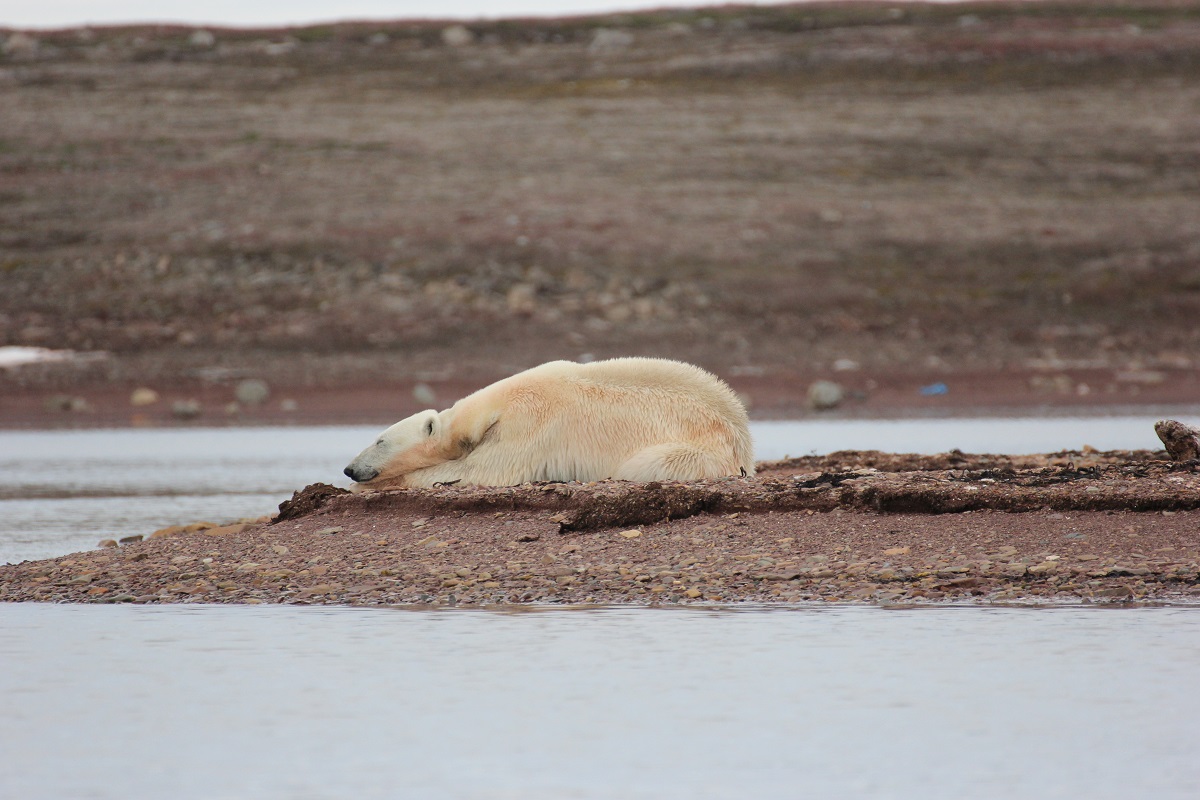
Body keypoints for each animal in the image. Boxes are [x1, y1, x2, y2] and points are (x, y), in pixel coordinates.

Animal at [345, 359, 748, 491]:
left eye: (380, 440)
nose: (350, 469)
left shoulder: (528, 424)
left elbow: (485, 470)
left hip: (699, 450)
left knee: (646, 464)